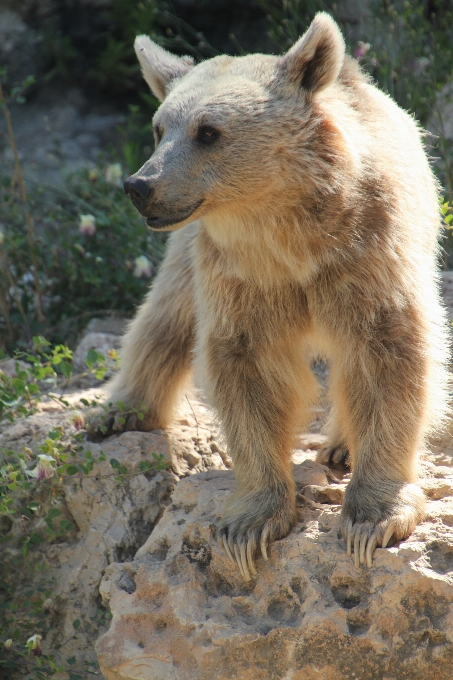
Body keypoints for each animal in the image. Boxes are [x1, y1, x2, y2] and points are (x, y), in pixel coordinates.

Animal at [88, 11, 448, 580]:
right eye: (159, 128)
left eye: (208, 131)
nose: (140, 185)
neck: (289, 236)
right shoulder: (240, 277)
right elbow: (247, 367)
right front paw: (248, 524)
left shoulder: (367, 256)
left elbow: (387, 354)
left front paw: (372, 517)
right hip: (186, 250)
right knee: (165, 316)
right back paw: (120, 410)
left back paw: (341, 445)